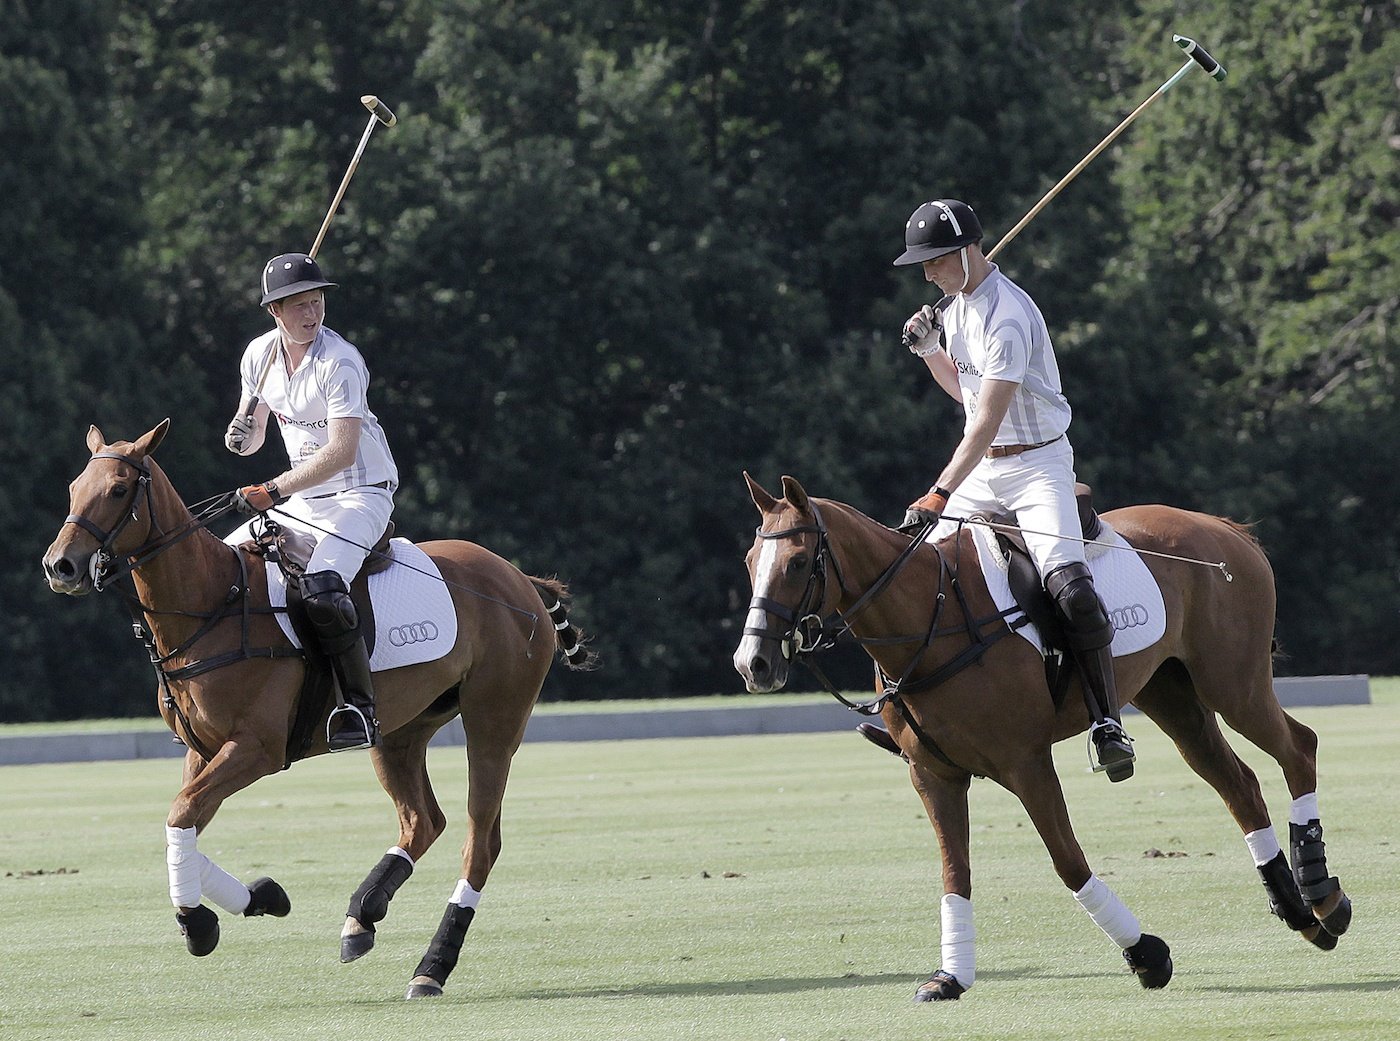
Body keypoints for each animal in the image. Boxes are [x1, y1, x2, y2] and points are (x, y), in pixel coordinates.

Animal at [42, 419, 596, 996]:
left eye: (118, 489)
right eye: (74, 487)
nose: (60, 566)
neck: (211, 605)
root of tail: (518, 578)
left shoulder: (257, 748)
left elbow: (181, 812)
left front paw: (198, 923)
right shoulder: (203, 750)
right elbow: (184, 819)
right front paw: (262, 897)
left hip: (495, 720)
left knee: (480, 840)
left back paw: (431, 967)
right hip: (401, 729)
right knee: (422, 821)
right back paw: (362, 917)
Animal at [739, 478, 1349, 1001]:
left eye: (798, 562)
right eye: (750, 563)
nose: (753, 664)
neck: (929, 622)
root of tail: (1225, 528)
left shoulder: (1025, 763)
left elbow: (1068, 862)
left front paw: (1148, 955)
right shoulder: (933, 774)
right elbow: (954, 871)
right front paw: (949, 977)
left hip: (1233, 682)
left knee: (1299, 747)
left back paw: (1323, 897)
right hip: (1172, 694)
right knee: (1238, 783)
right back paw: (1299, 913)